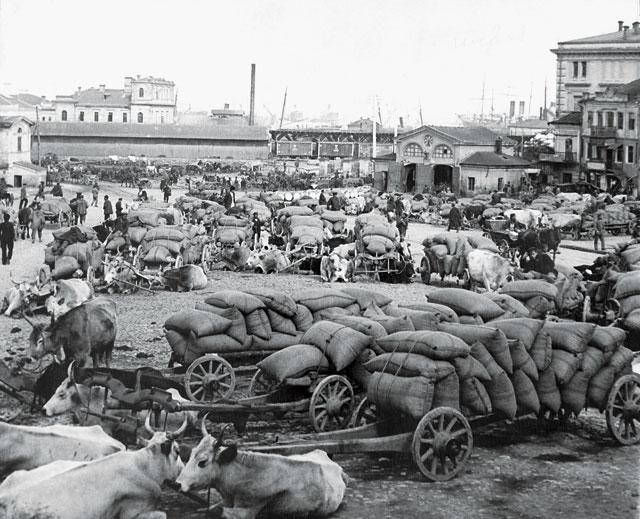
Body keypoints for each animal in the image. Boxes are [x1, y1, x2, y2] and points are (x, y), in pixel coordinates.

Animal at [175, 422, 348, 519]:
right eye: (191, 454)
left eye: (202, 462)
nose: (178, 483)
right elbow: (206, 508)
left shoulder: (246, 512)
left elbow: (213, 512)